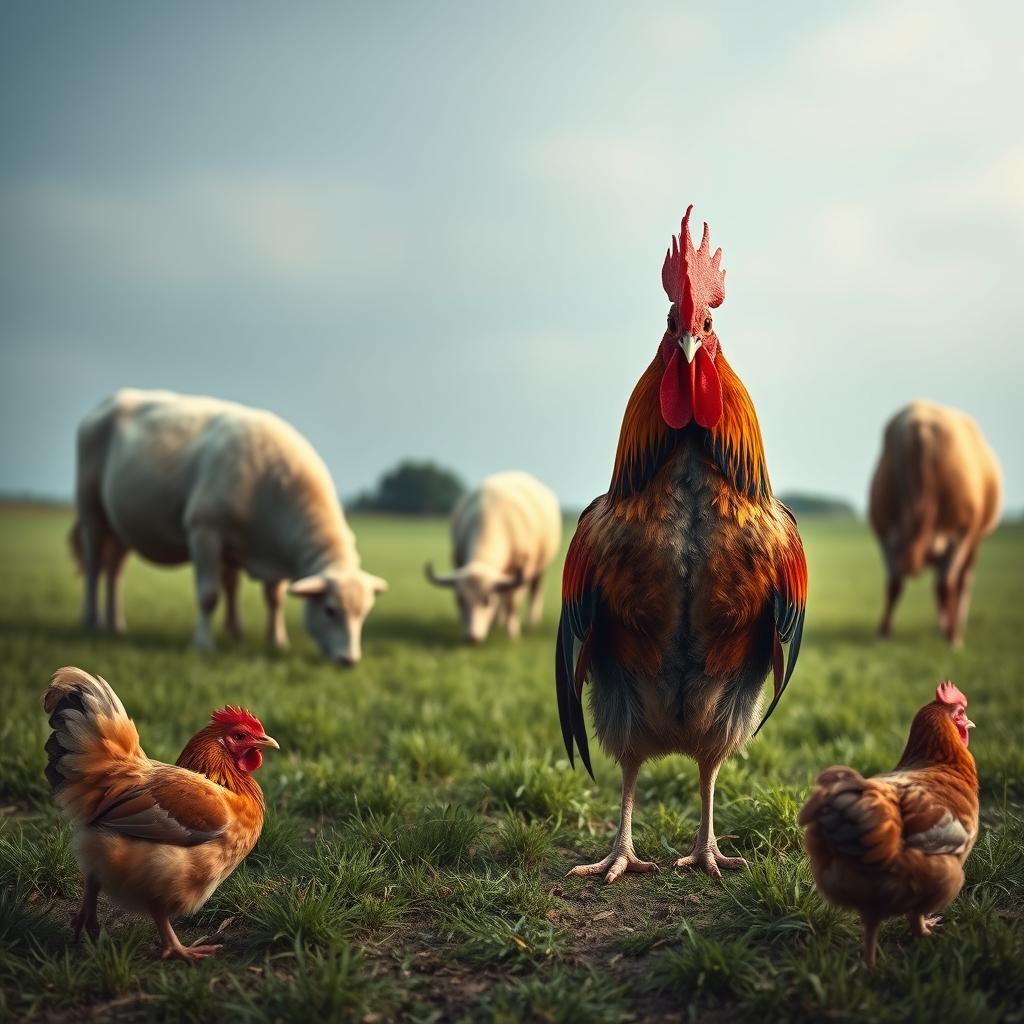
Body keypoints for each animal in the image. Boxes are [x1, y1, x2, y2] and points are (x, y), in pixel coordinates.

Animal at [72, 389, 388, 664]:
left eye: (364, 614)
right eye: (330, 610)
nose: (349, 661)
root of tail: (111, 399)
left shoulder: (266, 550)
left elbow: (271, 598)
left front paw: (274, 640)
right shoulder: (205, 531)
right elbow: (210, 594)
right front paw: (203, 644)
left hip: (121, 526)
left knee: (114, 572)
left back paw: (115, 624)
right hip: (92, 510)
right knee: (94, 564)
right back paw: (91, 620)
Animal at [425, 471, 562, 644]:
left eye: (487, 601)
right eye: (460, 600)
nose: (472, 637)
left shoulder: (522, 570)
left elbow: (512, 602)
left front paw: (512, 632)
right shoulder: (459, 562)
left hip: (540, 569)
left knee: (535, 591)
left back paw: (532, 621)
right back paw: (499, 621)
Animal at [869, 400, 1002, 647]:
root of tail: (920, 421)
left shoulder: (959, 537)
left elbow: (941, 584)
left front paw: (951, 634)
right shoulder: (886, 534)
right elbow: (896, 584)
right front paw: (883, 633)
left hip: (969, 538)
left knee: (958, 581)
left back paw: (953, 626)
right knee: (950, 582)